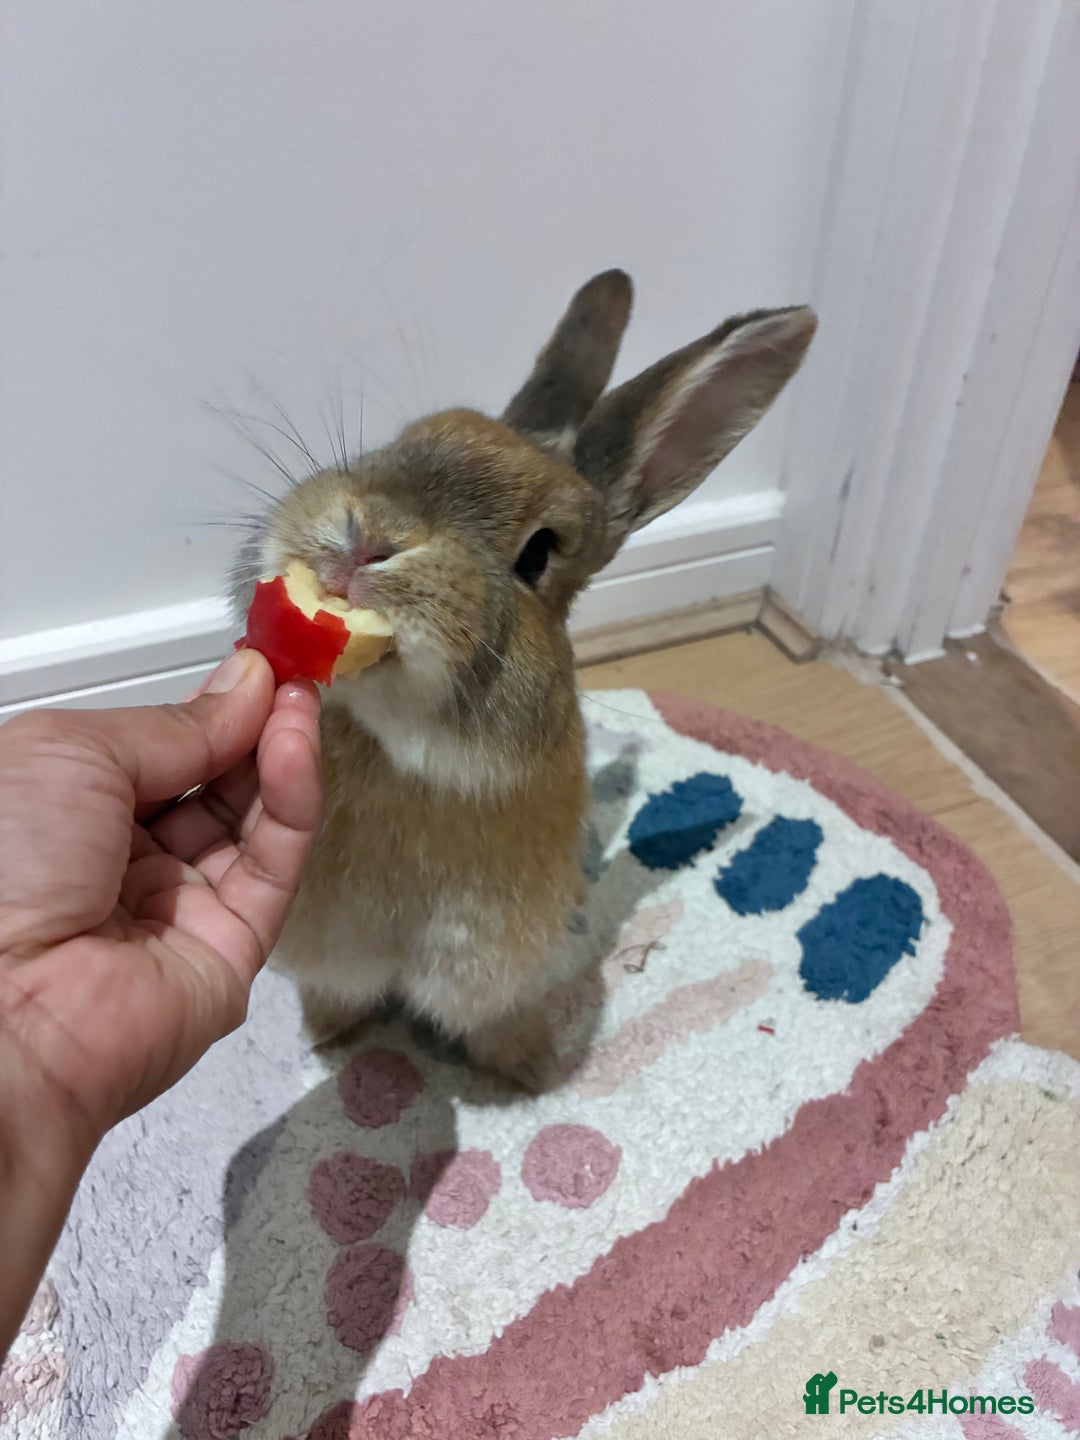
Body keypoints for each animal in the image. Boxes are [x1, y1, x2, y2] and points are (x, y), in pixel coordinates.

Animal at [230, 270, 816, 1090]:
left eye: (539, 553)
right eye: (408, 438)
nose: (370, 537)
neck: (408, 753)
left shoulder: (495, 959)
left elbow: (492, 1020)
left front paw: (533, 1071)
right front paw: (327, 1036)